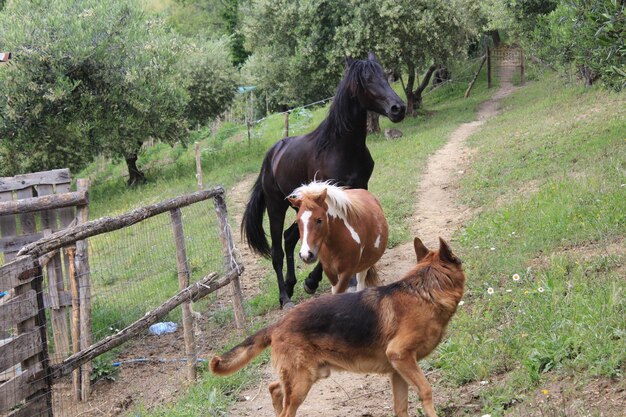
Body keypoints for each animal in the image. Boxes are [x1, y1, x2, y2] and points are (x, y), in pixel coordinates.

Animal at [210, 237, 464, 416]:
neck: (424, 290)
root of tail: (278, 324)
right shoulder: (401, 356)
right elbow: (426, 390)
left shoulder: (398, 371)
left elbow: (401, 408)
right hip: (301, 383)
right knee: (284, 406)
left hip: (306, 376)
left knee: (274, 388)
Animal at [239, 52, 404, 308]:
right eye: (366, 81)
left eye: (385, 76)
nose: (398, 108)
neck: (340, 147)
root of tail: (273, 153)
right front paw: (311, 281)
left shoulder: (356, 192)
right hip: (276, 207)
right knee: (277, 251)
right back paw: (285, 297)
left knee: (289, 238)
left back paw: (291, 284)